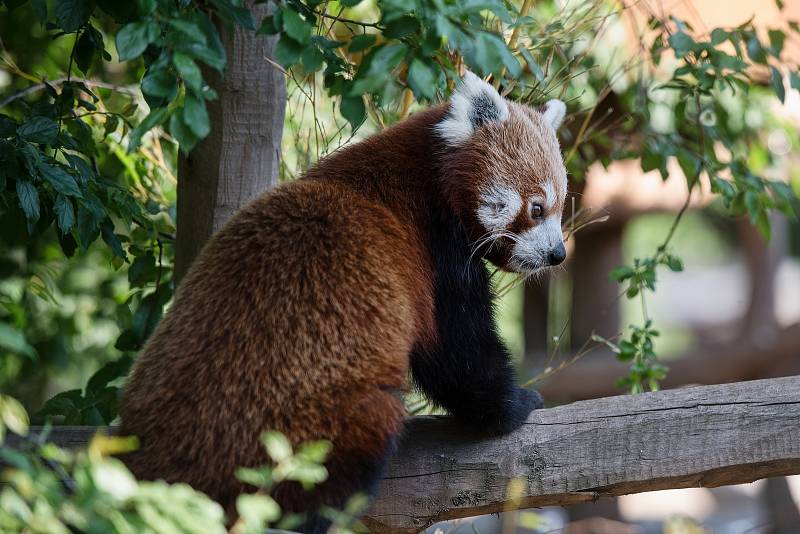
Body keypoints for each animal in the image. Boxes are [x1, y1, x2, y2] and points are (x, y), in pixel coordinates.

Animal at [119, 72, 568, 534]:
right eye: (538, 208)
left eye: (561, 207)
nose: (558, 254)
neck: (432, 178)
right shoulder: (437, 256)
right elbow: (459, 351)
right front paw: (515, 406)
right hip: (318, 426)